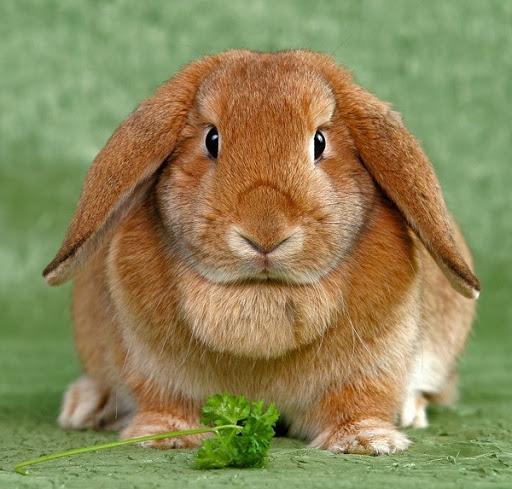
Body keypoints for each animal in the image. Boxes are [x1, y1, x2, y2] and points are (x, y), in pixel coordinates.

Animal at [45, 49, 480, 454]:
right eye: (212, 140)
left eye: (320, 142)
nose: (265, 233)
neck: (261, 295)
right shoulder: (152, 367)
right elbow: (164, 400)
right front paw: (166, 436)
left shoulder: (370, 367)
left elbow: (357, 402)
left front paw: (366, 441)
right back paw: (85, 407)